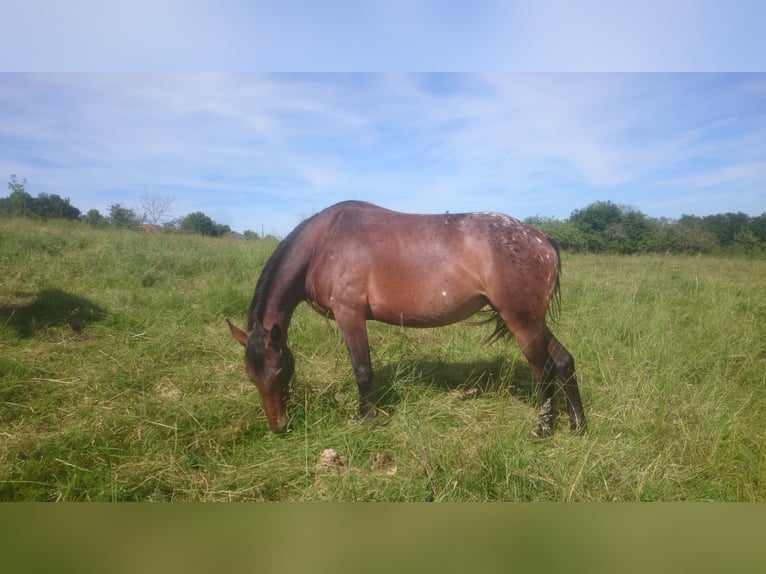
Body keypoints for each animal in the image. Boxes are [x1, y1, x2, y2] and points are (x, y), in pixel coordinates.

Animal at [228, 200, 588, 438]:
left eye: (280, 372)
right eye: (251, 376)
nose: (278, 427)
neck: (322, 244)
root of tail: (543, 241)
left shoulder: (349, 315)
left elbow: (363, 371)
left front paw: (367, 419)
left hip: (521, 321)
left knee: (543, 370)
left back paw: (544, 429)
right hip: (532, 321)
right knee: (563, 361)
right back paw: (578, 424)